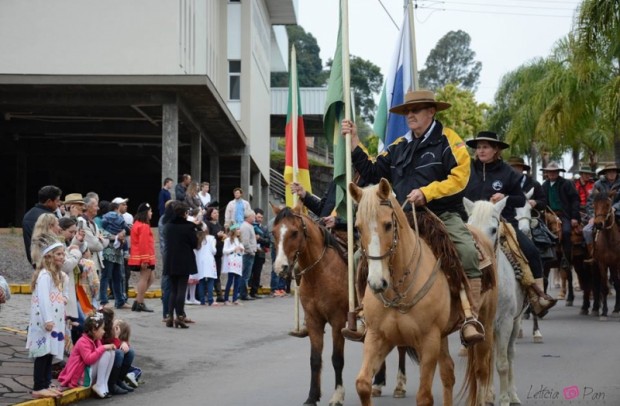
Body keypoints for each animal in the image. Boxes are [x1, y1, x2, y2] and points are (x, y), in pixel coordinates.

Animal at [348, 180, 498, 406]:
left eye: (388, 225)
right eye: (357, 228)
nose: (376, 282)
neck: (399, 290)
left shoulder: (428, 341)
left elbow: (424, 396)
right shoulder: (377, 336)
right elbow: (362, 384)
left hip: (485, 325)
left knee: (481, 371)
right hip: (443, 335)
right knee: (448, 373)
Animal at [464, 198, 528, 406]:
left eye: (493, 229)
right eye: (469, 226)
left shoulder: (505, 323)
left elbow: (502, 363)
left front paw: (505, 399)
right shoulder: (480, 326)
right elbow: (482, 363)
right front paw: (485, 397)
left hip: (516, 323)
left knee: (510, 355)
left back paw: (513, 395)